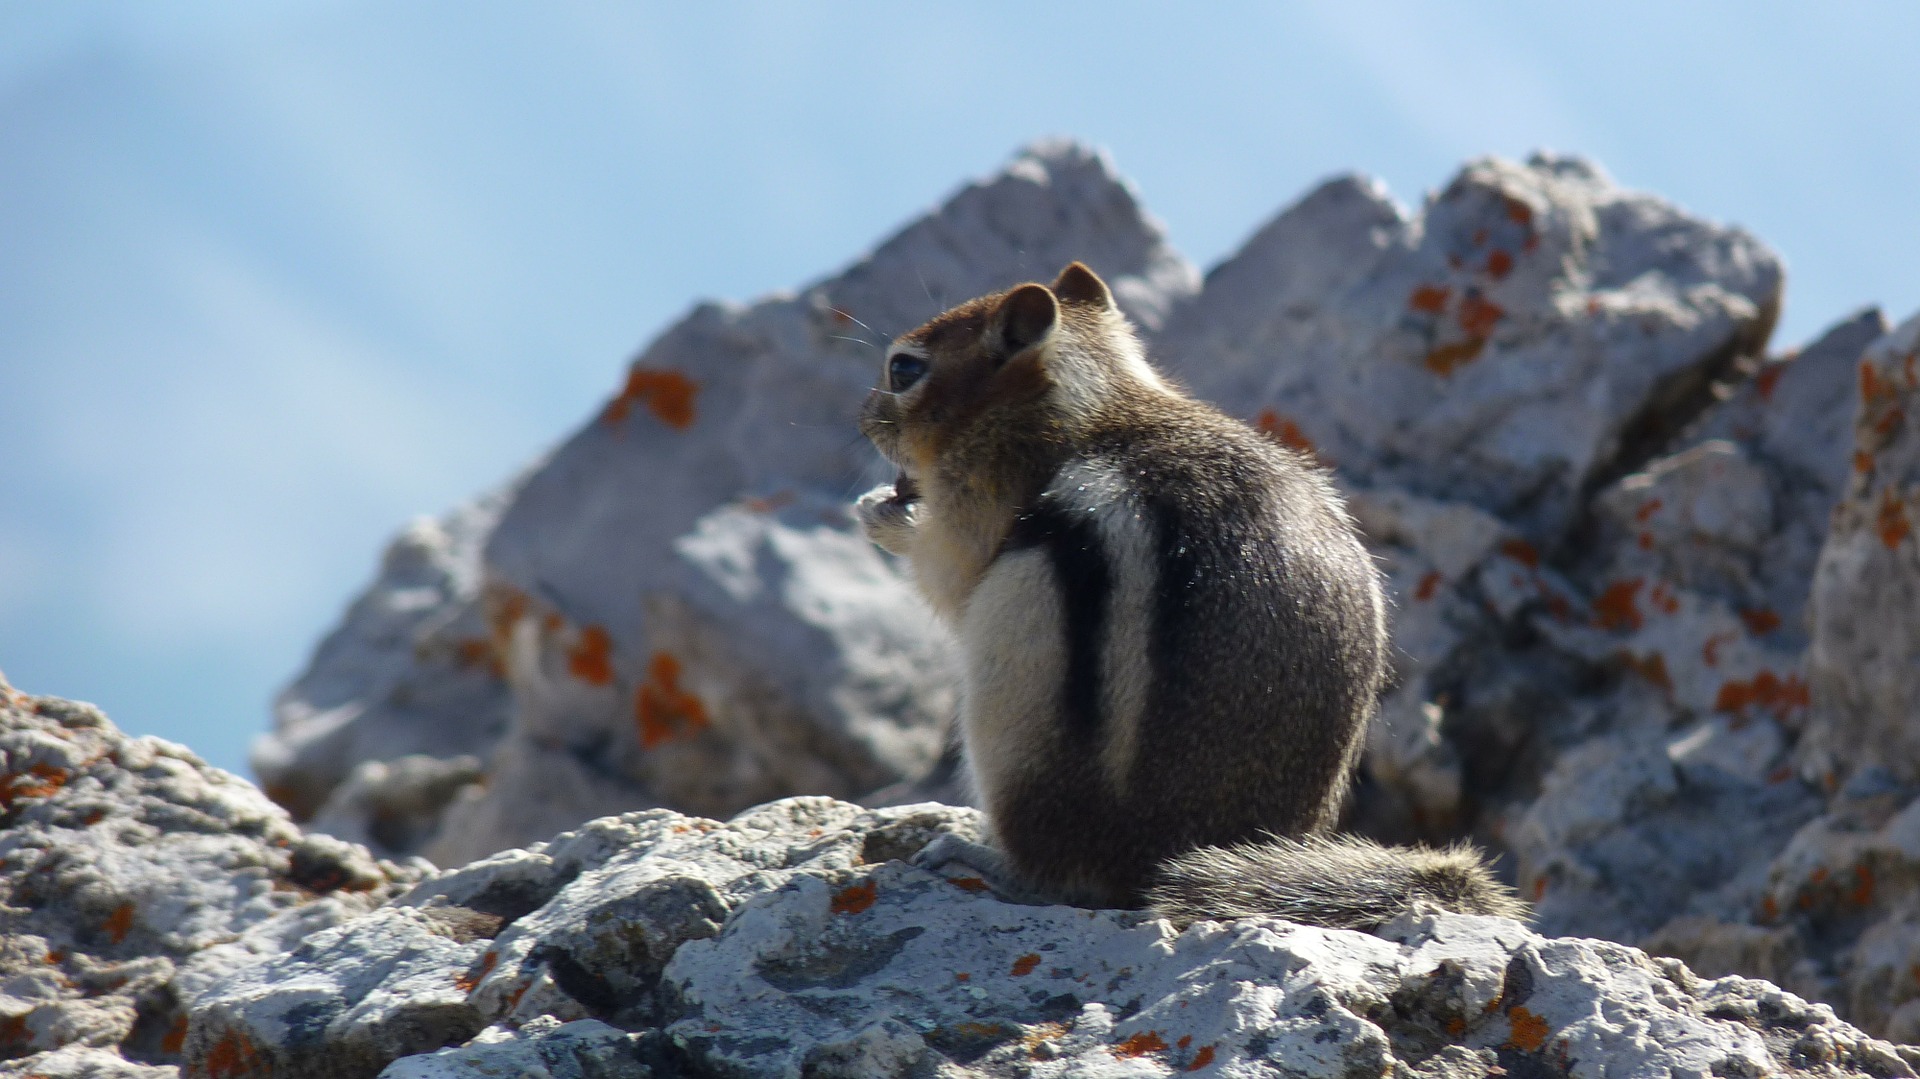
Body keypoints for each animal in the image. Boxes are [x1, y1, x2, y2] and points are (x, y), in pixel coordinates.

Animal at [864, 261, 1520, 925]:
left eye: (904, 369)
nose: (865, 414)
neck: (1091, 405)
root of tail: (1150, 868)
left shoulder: (982, 498)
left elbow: (949, 572)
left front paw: (885, 516)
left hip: (1010, 710)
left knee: (1058, 881)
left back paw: (973, 855)